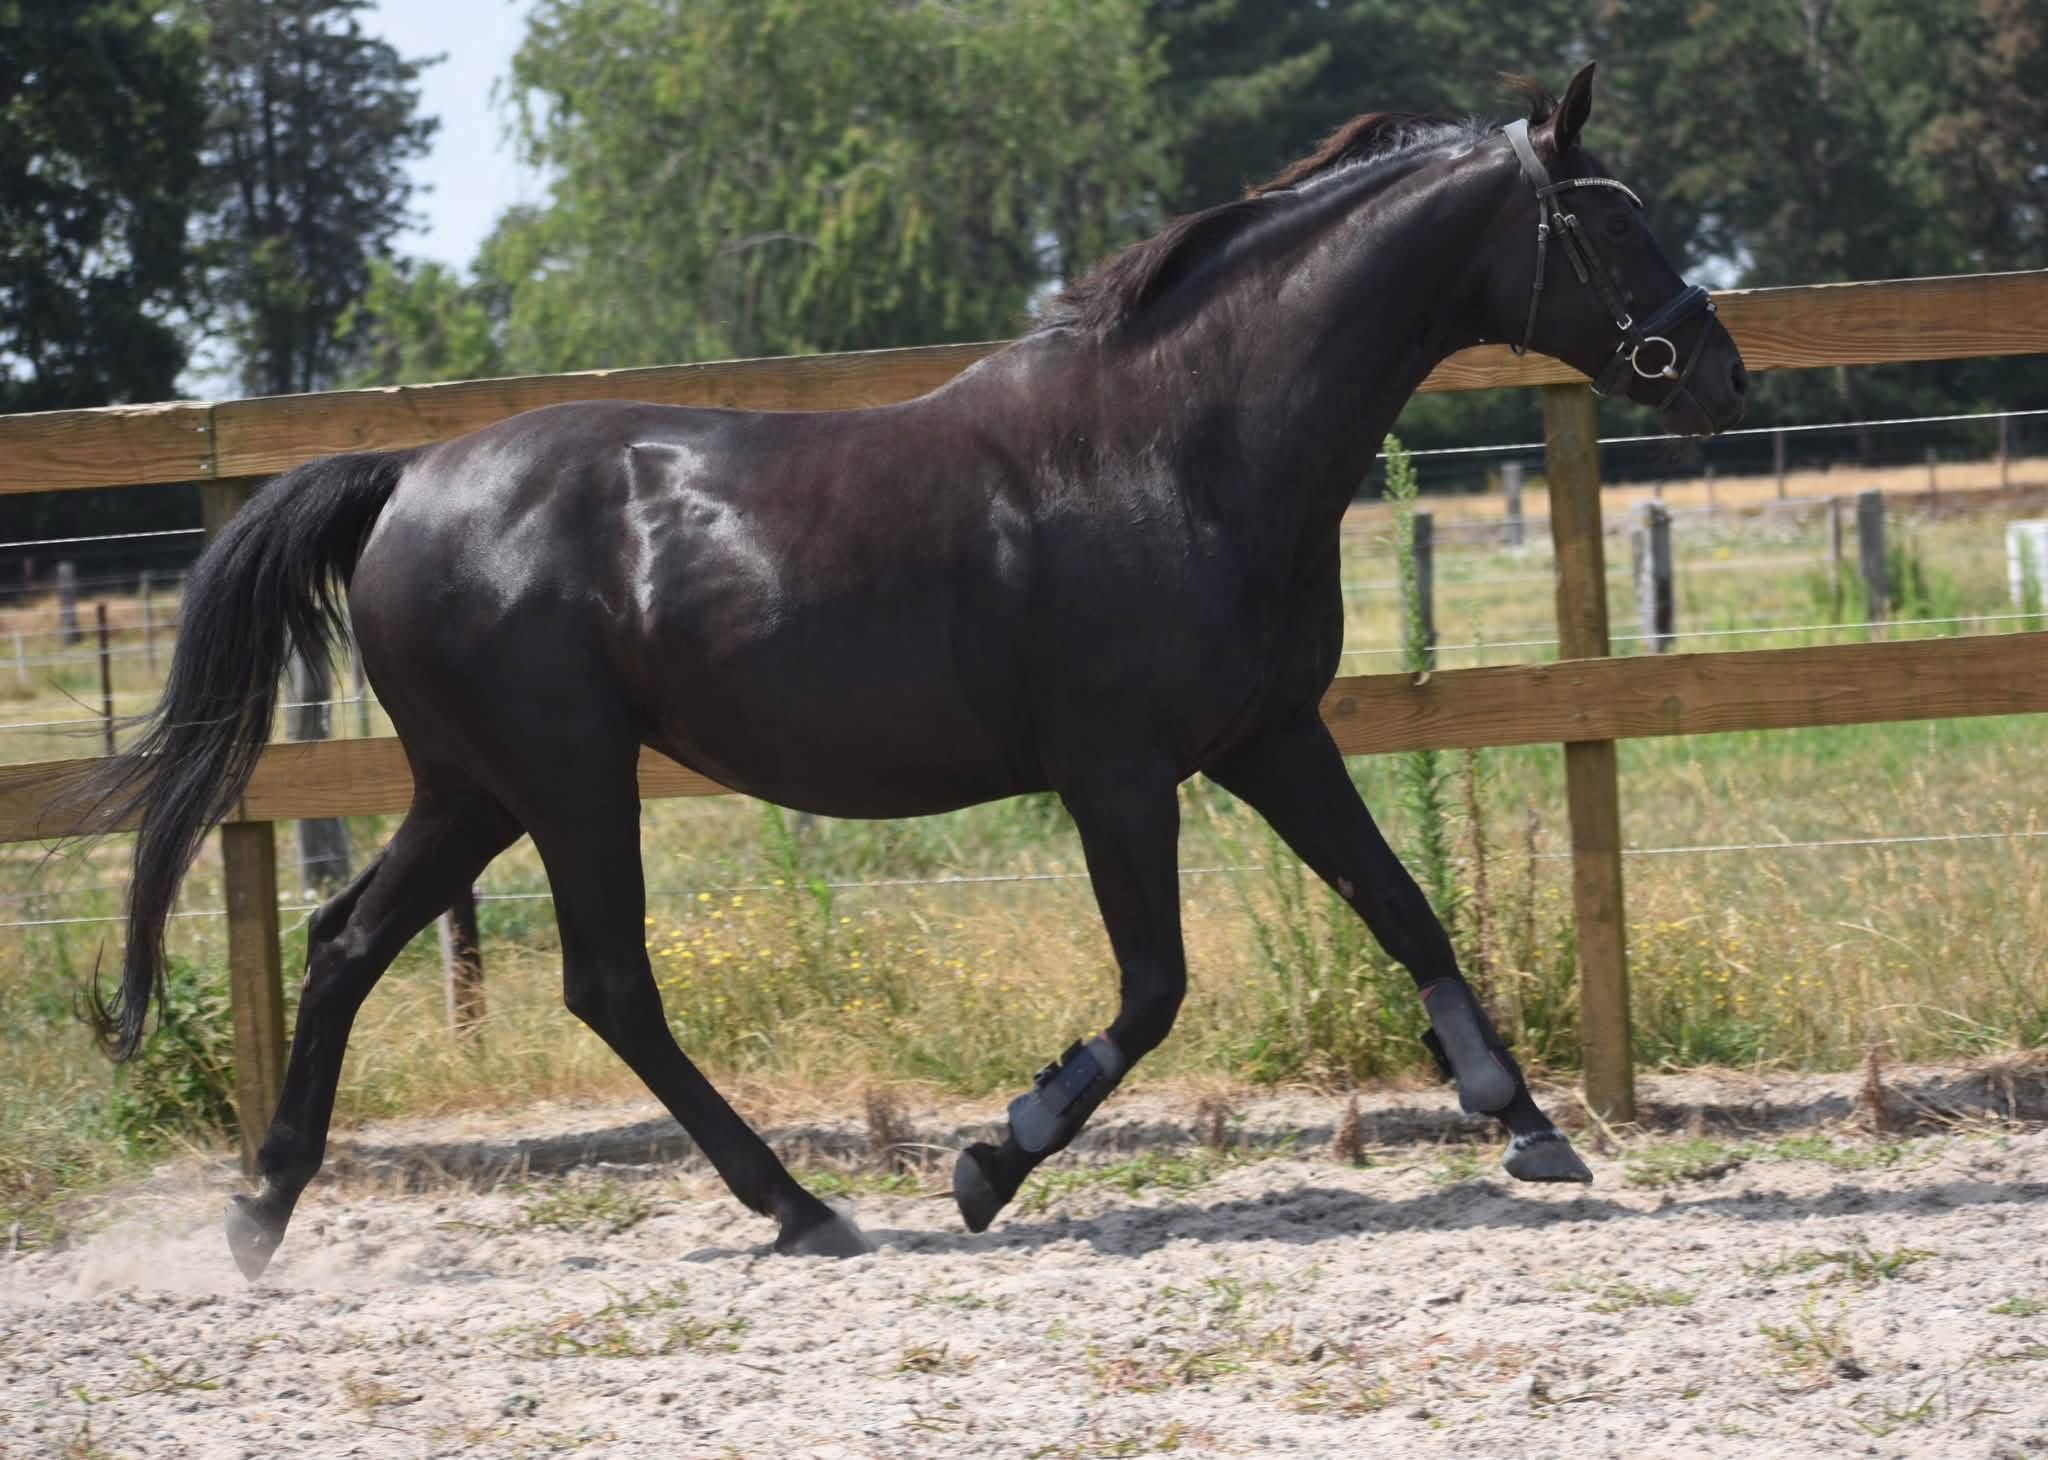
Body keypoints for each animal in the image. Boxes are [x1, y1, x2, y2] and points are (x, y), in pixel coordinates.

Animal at [86, 63, 1745, 1276]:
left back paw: (261, 1214)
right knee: (605, 983)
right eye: (1613, 223)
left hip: (476, 788)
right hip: (564, 777)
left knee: (350, 946)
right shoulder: (1120, 774)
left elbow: (1400, 906)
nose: (1720, 374)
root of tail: (410, 479)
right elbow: (1154, 989)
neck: (1182, 444)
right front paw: (986, 1160)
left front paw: (1529, 1125)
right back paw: (805, 1209)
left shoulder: (1271, 735)